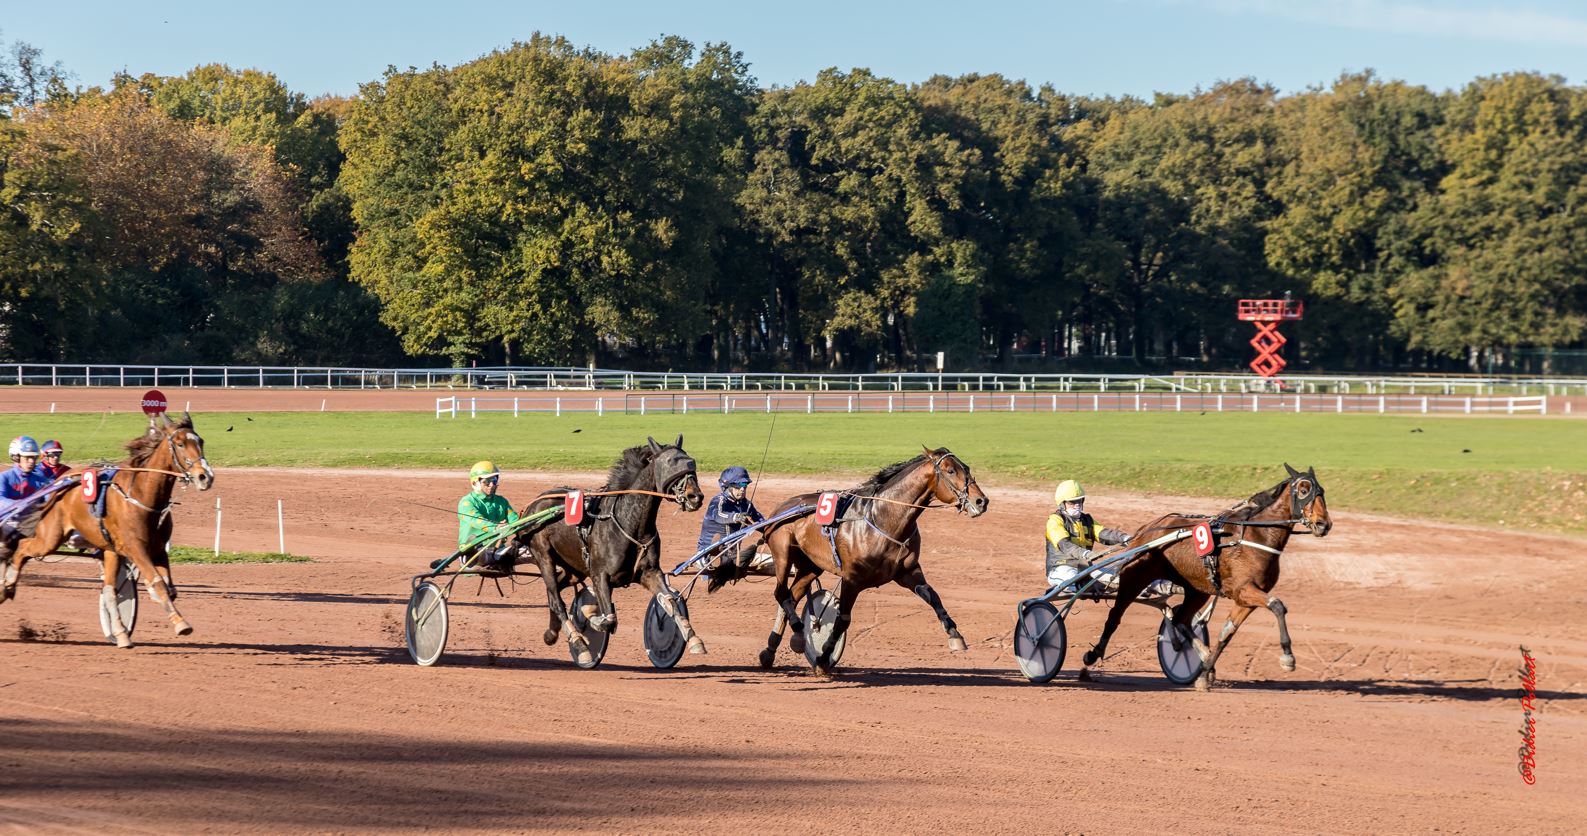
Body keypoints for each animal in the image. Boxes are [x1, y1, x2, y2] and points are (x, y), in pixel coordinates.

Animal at [4, 412, 215, 647]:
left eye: (201, 441)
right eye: (180, 444)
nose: (205, 477)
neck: (141, 495)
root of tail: (59, 483)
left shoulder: (158, 550)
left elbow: (168, 588)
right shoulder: (135, 548)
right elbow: (158, 583)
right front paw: (181, 623)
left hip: (108, 549)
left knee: (109, 590)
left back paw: (120, 633)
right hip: (50, 537)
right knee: (22, 548)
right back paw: (8, 585)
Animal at [514, 437, 701, 666]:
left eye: (691, 462)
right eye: (670, 462)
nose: (695, 496)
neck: (628, 524)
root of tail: (534, 505)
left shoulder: (650, 573)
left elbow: (670, 602)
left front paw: (694, 639)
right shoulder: (599, 574)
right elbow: (609, 619)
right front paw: (589, 615)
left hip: (573, 568)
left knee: (554, 590)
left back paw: (552, 633)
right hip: (544, 556)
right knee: (556, 600)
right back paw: (579, 644)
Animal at [710, 447, 983, 675]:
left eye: (967, 468)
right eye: (950, 470)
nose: (981, 501)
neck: (883, 520)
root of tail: (779, 510)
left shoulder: (908, 571)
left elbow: (933, 596)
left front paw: (955, 635)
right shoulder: (852, 579)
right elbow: (842, 619)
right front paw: (823, 658)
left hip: (811, 566)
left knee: (792, 595)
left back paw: (771, 650)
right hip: (783, 553)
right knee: (780, 593)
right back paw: (799, 633)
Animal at [1085, 463, 1333, 694]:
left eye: (1321, 491)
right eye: (1304, 490)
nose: (1324, 524)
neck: (1257, 536)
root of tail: (1147, 529)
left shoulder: (1245, 599)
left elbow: (1227, 632)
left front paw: (1205, 674)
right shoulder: (1244, 589)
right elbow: (1278, 606)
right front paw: (1288, 657)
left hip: (1198, 589)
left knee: (1180, 619)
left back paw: (1202, 655)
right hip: (1134, 578)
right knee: (1114, 617)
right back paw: (1092, 655)